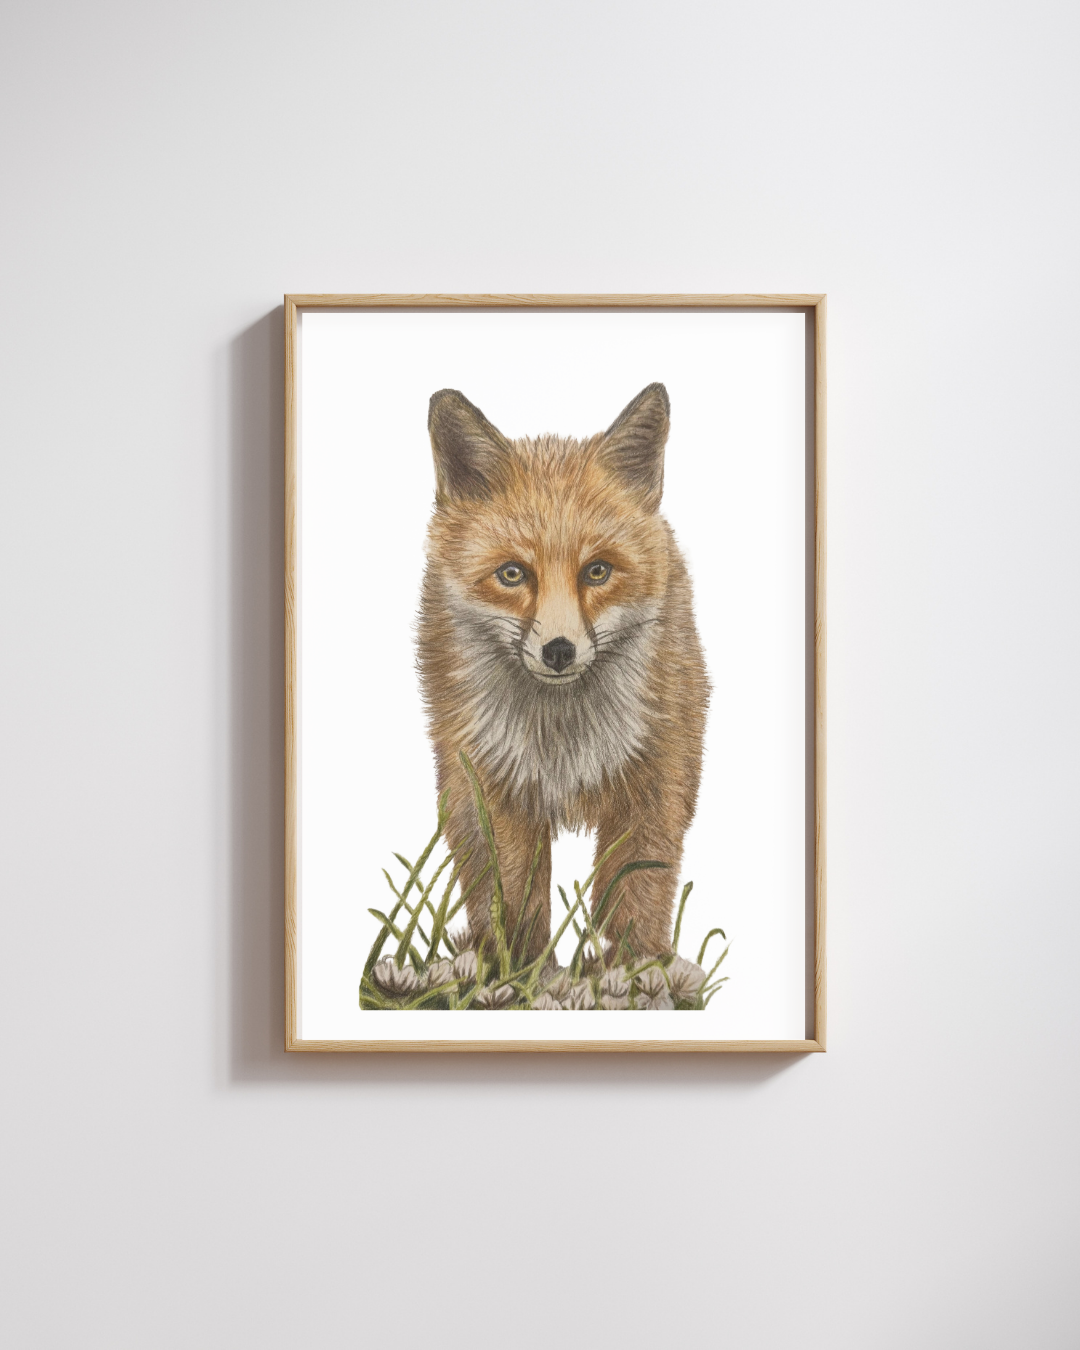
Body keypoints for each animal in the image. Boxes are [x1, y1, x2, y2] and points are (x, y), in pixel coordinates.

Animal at [417, 382, 709, 964]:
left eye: (597, 571)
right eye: (512, 574)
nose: (558, 651)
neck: (562, 737)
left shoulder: (659, 778)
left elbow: (636, 893)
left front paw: (634, 967)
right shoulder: (494, 784)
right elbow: (514, 898)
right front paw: (523, 970)